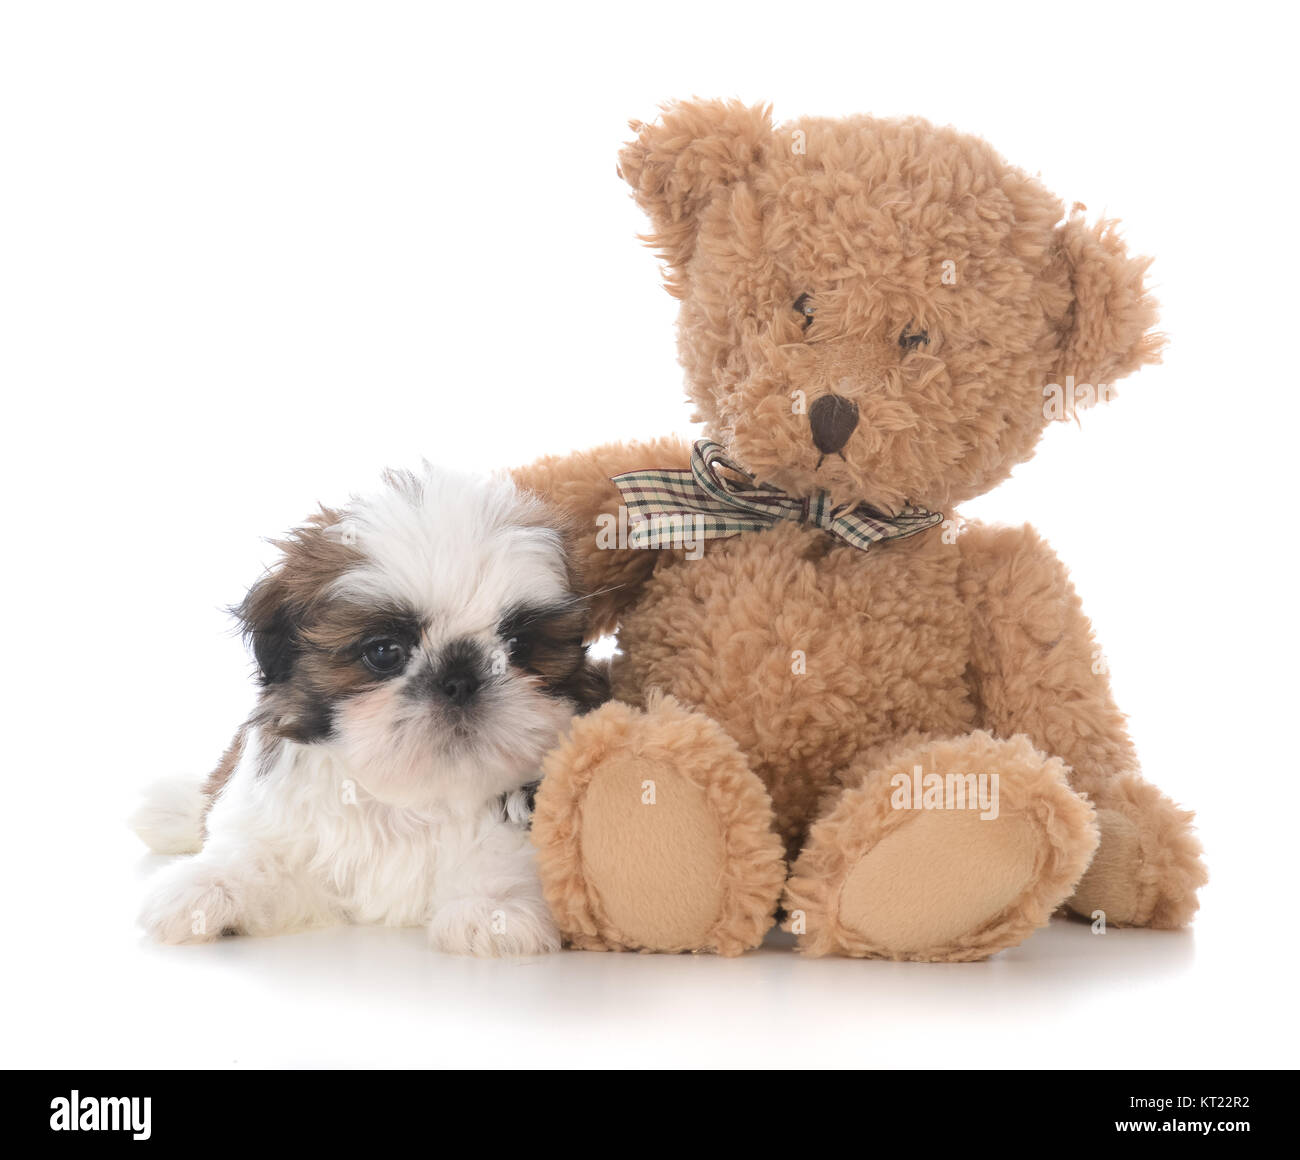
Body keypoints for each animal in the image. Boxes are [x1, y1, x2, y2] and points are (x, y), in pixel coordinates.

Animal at [129, 465, 605, 957]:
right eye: (383, 651)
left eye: (519, 646)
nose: (459, 679)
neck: (410, 796)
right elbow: (256, 857)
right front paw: (207, 887)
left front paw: (494, 907)